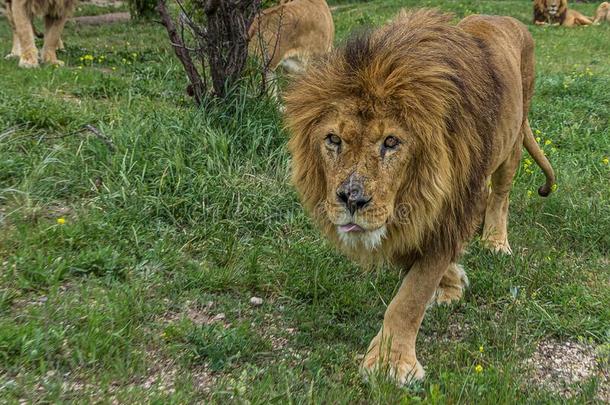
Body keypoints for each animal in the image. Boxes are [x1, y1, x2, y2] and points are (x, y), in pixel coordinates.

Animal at [282, 7, 552, 384]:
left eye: (391, 142)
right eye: (334, 139)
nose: (352, 200)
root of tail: (504, 18)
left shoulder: (448, 207)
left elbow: (411, 295)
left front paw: (390, 364)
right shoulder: (412, 216)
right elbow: (413, 262)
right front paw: (451, 282)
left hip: (512, 140)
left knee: (501, 193)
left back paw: (495, 241)